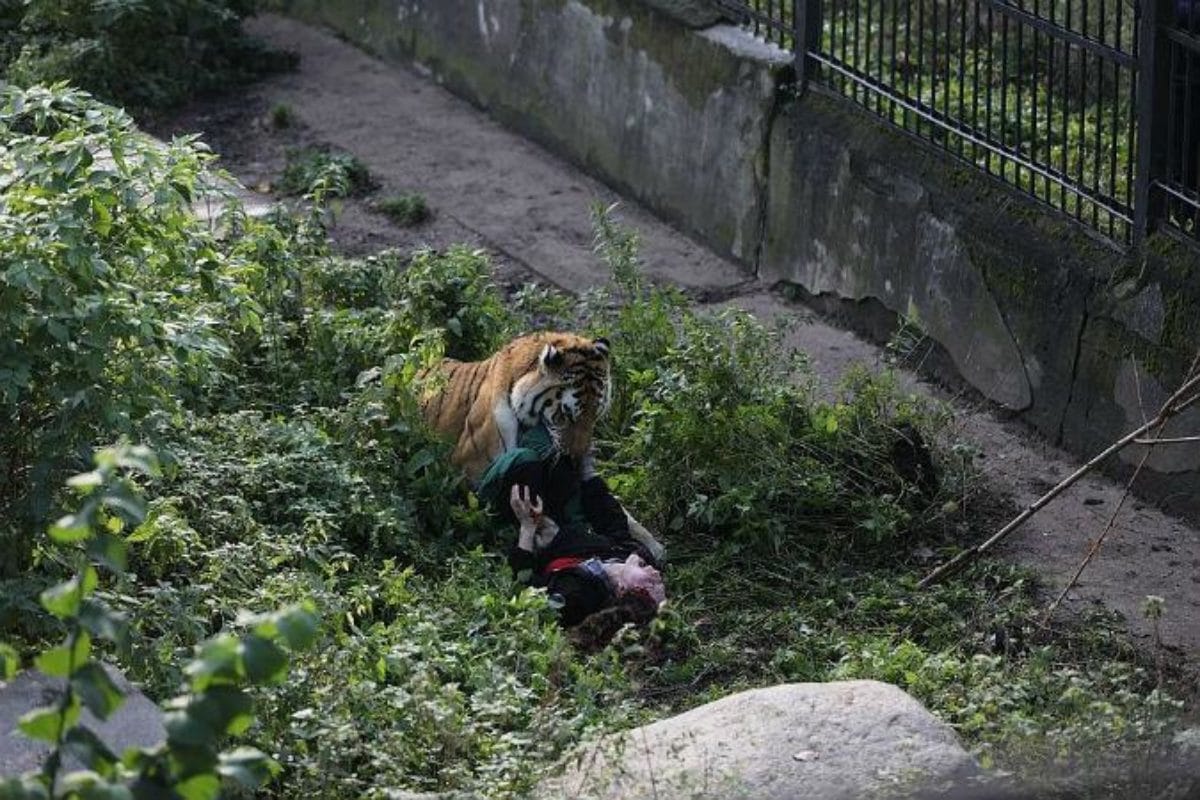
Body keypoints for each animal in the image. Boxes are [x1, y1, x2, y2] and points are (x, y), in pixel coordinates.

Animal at [420, 331, 667, 563]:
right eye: (565, 416)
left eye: (595, 415)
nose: (576, 459)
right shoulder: (469, 468)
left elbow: (621, 511)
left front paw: (655, 546)